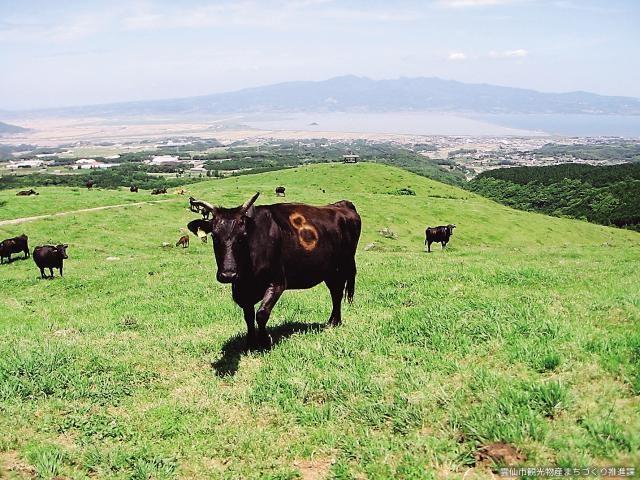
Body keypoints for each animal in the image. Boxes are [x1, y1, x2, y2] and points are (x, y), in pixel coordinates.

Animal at [188, 191, 362, 348]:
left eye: (243, 236)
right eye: (214, 236)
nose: (228, 274)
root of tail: (341, 205)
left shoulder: (277, 282)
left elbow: (261, 313)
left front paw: (265, 342)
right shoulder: (242, 290)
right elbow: (248, 316)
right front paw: (251, 343)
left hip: (343, 266)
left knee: (338, 293)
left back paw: (335, 322)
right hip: (329, 270)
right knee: (335, 292)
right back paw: (332, 321)